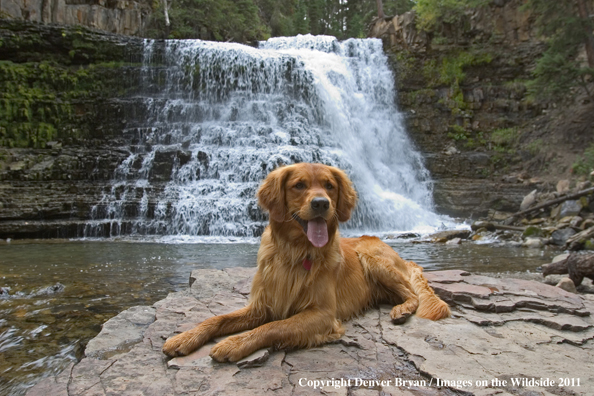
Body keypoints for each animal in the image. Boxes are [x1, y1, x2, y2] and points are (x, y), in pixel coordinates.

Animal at [162, 162, 448, 362]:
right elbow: (217, 319)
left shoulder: (322, 314)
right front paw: (185, 337)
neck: (296, 252)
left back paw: (402, 309)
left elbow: (275, 326)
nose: (321, 203)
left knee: (412, 294)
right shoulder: (260, 305)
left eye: (329, 185)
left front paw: (234, 343)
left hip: (372, 256)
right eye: (299, 185)